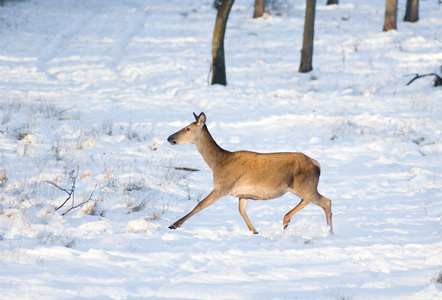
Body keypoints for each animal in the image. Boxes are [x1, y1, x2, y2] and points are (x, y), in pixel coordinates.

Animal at [167, 111, 334, 236]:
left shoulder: (222, 186)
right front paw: (255, 231)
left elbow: (199, 205)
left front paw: (174, 225)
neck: (217, 164)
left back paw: (328, 232)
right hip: (303, 186)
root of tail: (317, 164)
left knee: (326, 201)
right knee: (309, 201)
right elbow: (241, 211)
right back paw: (286, 221)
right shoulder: (243, 194)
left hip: (304, 185)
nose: (169, 137)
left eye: (187, 128)